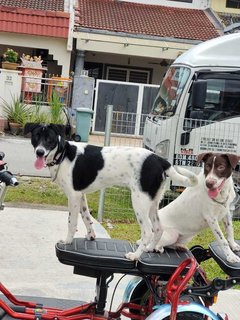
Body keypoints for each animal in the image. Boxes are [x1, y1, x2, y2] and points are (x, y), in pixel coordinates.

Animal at [23, 122, 199, 260]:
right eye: (36, 137)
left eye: (49, 139)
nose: (39, 152)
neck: (63, 154)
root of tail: (160, 160)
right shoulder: (81, 195)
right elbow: (86, 217)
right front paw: (91, 235)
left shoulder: (73, 196)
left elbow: (72, 222)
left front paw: (67, 241)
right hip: (152, 203)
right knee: (158, 228)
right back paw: (149, 249)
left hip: (139, 202)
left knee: (148, 232)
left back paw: (135, 255)